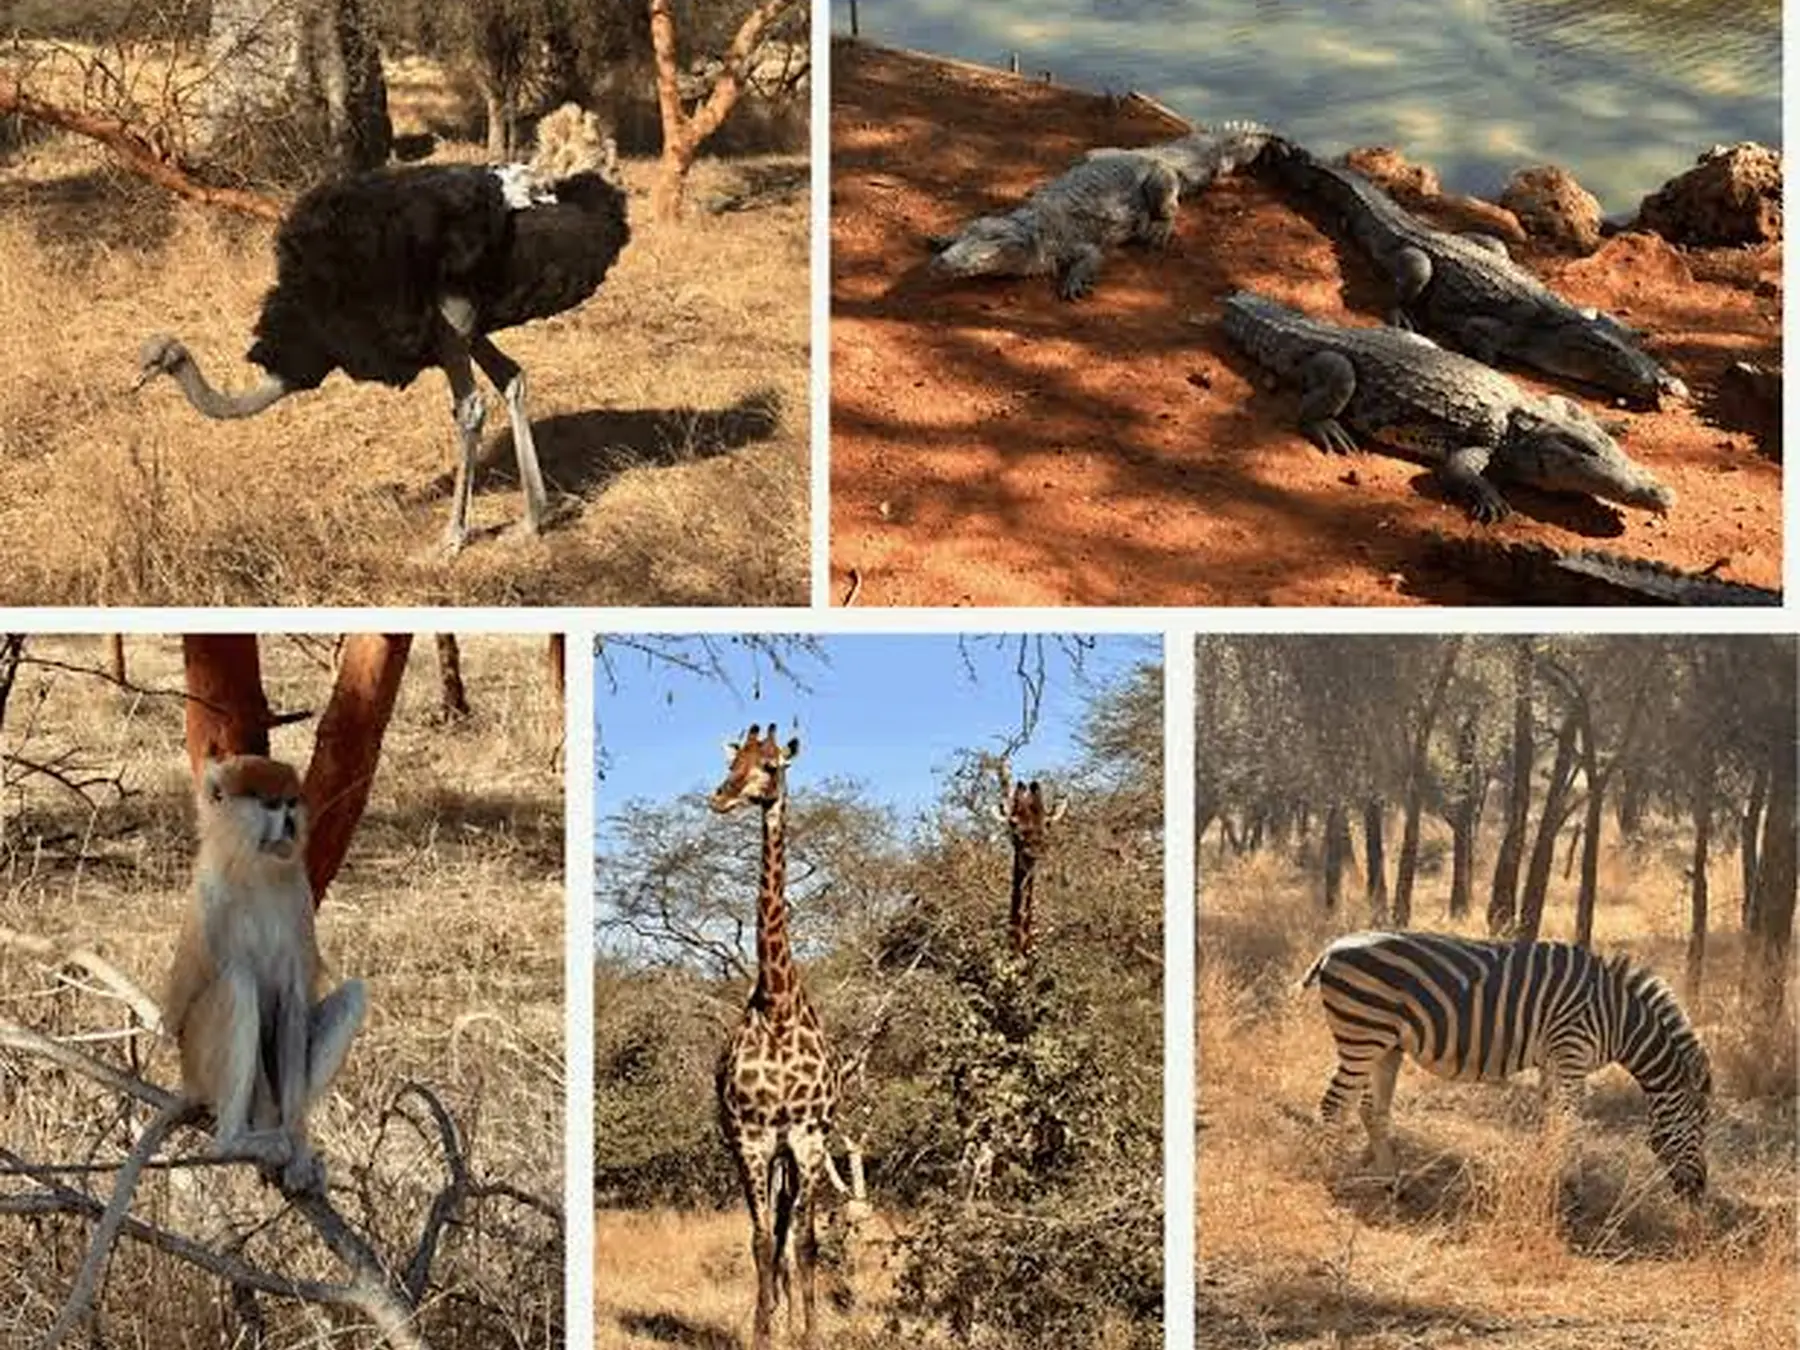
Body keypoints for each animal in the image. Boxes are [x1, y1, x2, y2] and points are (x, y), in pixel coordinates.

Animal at [162, 754, 366, 1192]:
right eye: (271, 806)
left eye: (291, 803)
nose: (289, 824)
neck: (255, 870)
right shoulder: (215, 903)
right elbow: (243, 981)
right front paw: (269, 1134)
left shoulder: (299, 896)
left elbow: (293, 1005)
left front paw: (300, 1150)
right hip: (197, 1062)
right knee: (237, 983)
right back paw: (236, 1140)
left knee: (356, 994)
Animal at [1300, 930, 1712, 1198]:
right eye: (1700, 1125)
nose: (1699, 1191)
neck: (1619, 1018)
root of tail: (1331, 949)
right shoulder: (1572, 1051)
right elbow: (1571, 1122)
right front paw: (1572, 1185)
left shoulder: (1554, 1060)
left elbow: (1552, 1119)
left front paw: (1549, 1174)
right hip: (1363, 1035)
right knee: (1334, 1104)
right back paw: (1332, 1179)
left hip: (1386, 1044)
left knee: (1372, 1109)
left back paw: (1392, 1182)